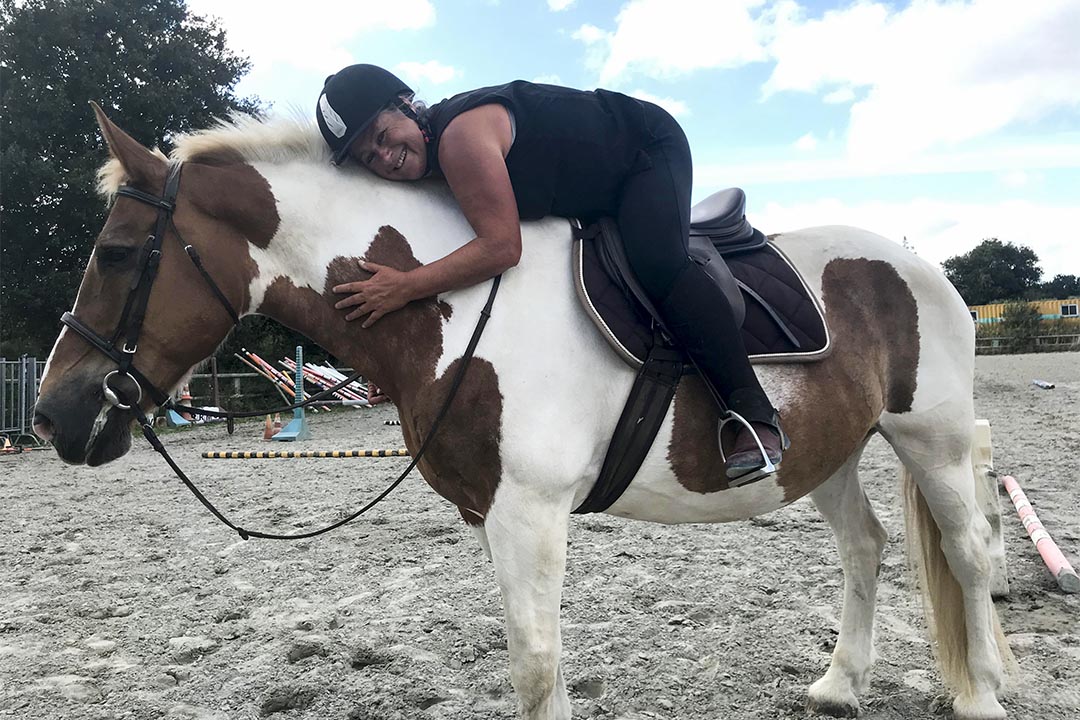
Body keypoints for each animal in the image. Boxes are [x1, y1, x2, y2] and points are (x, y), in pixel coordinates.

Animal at [31, 106, 1010, 720]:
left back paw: (983, 691)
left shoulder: (529, 513)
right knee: (867, 547)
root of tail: (916, 262)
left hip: (931, 440)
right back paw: (841, 686)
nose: (52, 414)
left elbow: (534, 666)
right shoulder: (494, 517)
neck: (451, 301)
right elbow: (544, 664)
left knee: (968, 551)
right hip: (830, 449)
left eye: (117, 253)